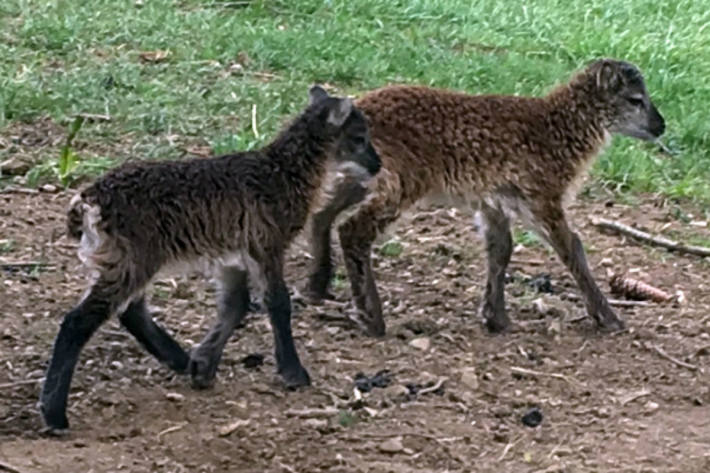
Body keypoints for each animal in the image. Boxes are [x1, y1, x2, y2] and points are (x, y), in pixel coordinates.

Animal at [39, 86, 384, 434]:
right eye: (359, 137)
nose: (377, 165)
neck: (283, 172)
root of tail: (88, 201)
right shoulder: (266, 243)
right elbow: (278, 303)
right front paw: (293, 373)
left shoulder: (233, 256)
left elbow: (235, 305)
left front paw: (203, 366)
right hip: (132, 258)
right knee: (80, 320)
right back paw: (54, 414)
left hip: (126, 258)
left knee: (131, 311)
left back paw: (179, 359)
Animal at [306, 58, 668, 336]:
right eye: (635, 99)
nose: (660, 126)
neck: (560, 129)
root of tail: (361, 108)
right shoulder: (542, 195)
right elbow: (572, 248)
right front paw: (608, 318)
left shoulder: (493, 200)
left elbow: (500, 250)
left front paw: (496, 318)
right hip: (401, 179)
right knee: (353, 230)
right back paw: (372, 317)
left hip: (364, 174)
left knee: (322, 215)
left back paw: (318, 286)